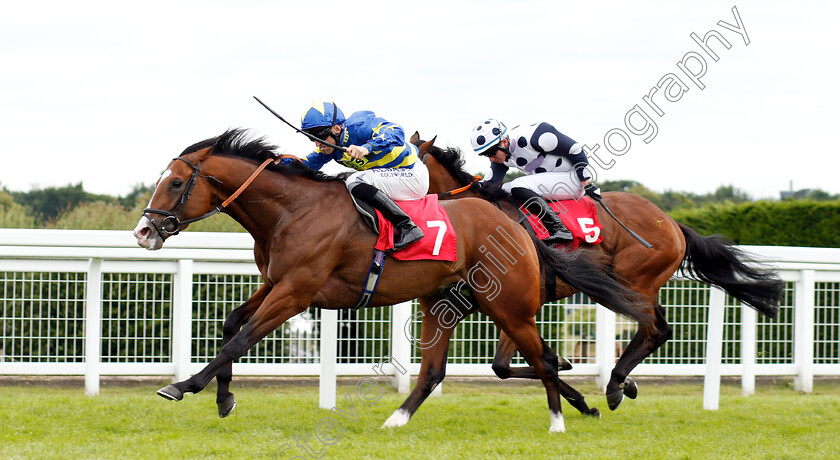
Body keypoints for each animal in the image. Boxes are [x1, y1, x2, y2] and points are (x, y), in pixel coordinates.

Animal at [131, 128, 648, 432]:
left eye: (175, 183)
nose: (143, 231)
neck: (292, 209)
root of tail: (515, 225)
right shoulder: (276, 283)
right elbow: (231, 325)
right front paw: (224, 398)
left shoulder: (297, 291)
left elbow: (242, 339)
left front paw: (183, 386)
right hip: (443, 302)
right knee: (438, 369)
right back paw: (396, 421)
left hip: (508, 304)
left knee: (540, 358)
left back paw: (563, 418)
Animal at [416, 137, 784, 410]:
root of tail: (671, 222)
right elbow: (503, 367)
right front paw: (569, 375)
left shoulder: (521, 304)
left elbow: (517, 364)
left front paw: (573, 386)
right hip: (636, 287)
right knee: (658, 329)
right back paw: (624, 382)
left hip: (629, 281)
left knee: (654, 329)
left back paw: (615, 384)